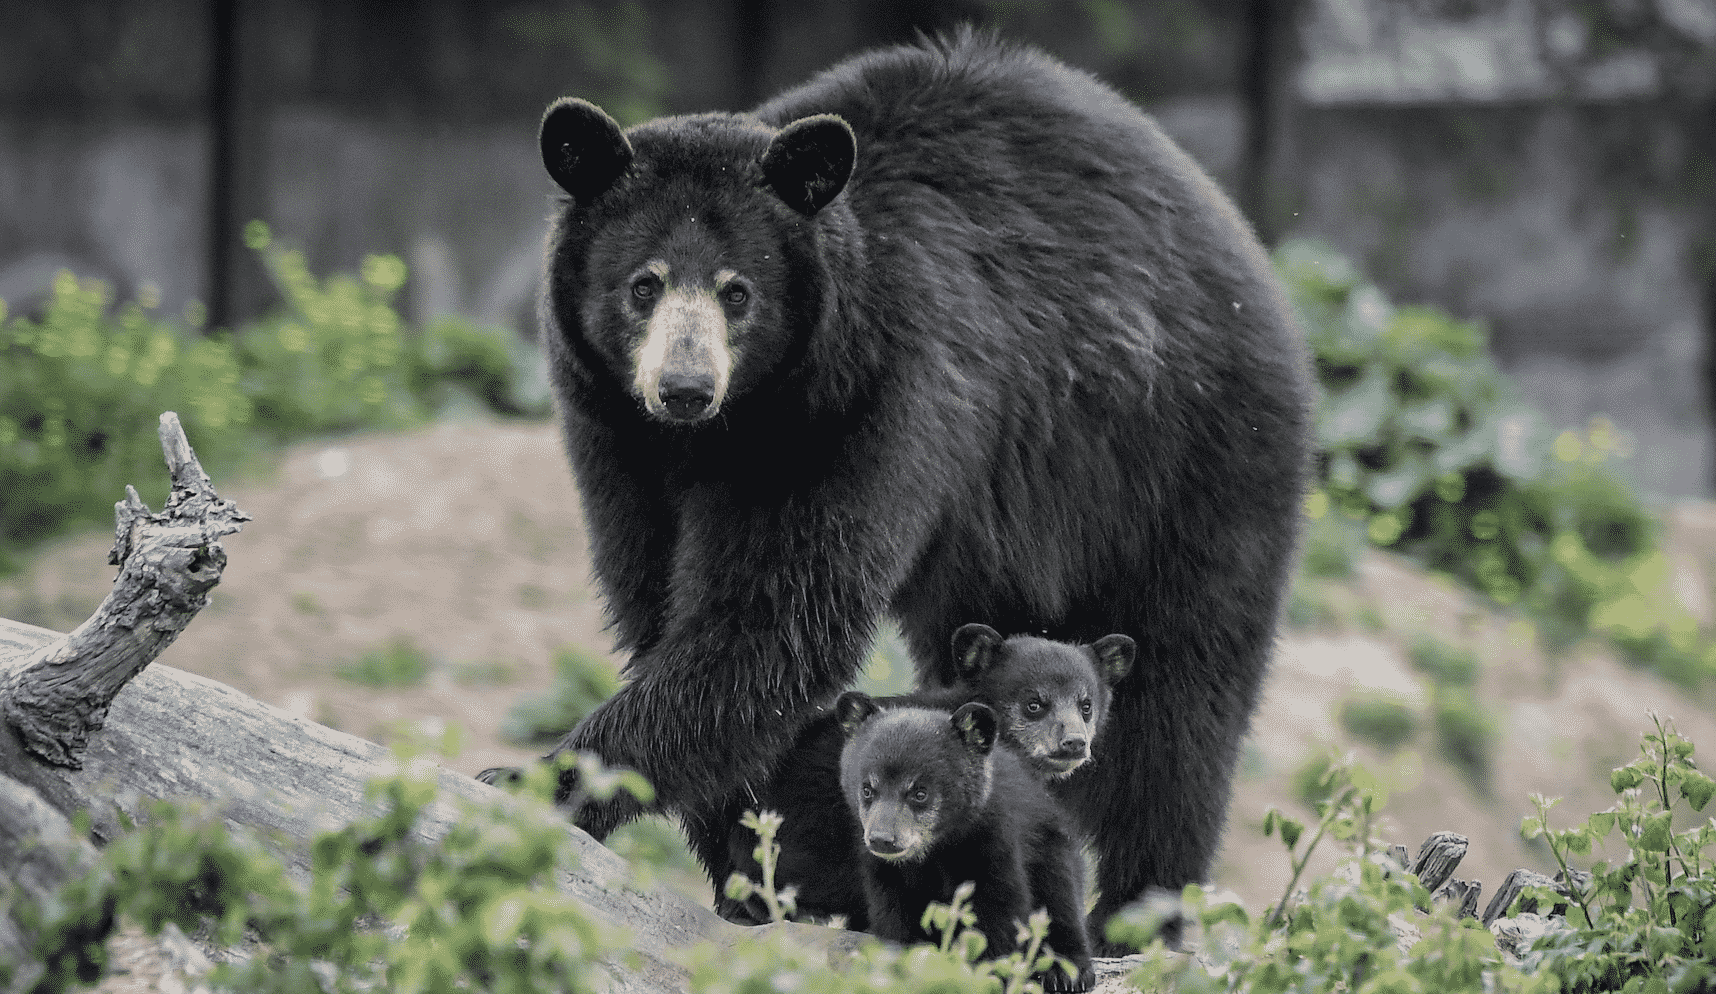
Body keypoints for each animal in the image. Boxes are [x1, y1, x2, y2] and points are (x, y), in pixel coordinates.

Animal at [837, 697, 1091, 988]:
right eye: (867, 789)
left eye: (920, 793)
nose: (882, 839)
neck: (934, 851)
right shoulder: (885, 874)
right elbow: (895, 919)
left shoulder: (991, 845)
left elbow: (1000, 913)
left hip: (1052, 847)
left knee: (1061, 897)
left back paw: (1066, 972)